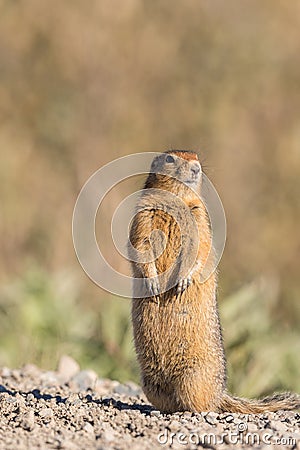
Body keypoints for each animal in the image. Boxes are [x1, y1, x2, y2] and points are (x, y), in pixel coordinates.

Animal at [127, 149, 298, 414]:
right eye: (170, 159)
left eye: (196, 156)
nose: (197, 168)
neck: (177, 200)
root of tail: (220, 394)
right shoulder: (144, 213)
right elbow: (140, 244)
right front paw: (153, 283)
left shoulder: (199, 216)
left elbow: (201, 248)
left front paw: (183, 280)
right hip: (150, 382)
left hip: (194, 378)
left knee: (203, 404)